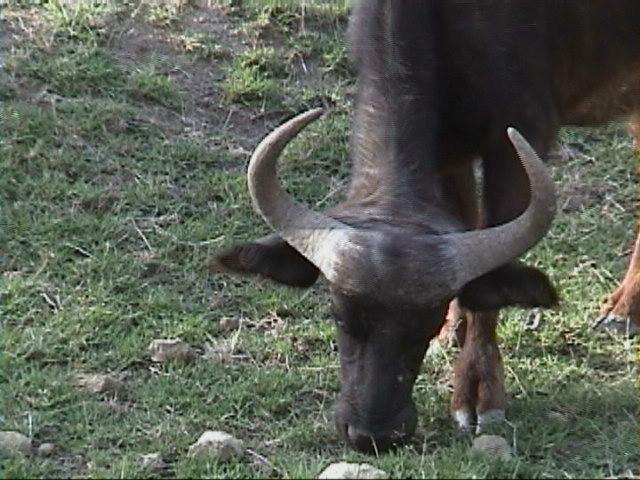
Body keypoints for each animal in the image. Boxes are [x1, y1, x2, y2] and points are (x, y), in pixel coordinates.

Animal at [213, 1, 640, 452]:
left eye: (424, 323)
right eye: (340, 316)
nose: (373, 433)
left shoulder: (518, 140)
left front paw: (478, 390)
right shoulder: (446, 154)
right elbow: (466, 224)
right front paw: (456, 328)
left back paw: (624, 310)